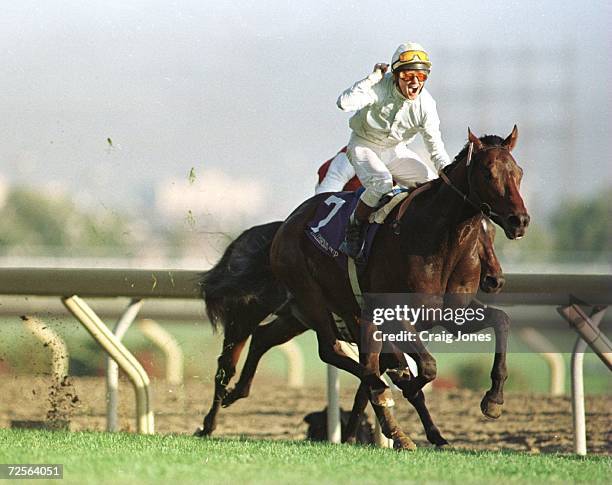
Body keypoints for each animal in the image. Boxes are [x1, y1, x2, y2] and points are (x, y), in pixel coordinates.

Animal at [270, 126, 528, 448]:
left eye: (518, 172)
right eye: (488, 173)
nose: (519, 221)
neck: (438, 239)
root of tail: (289, 221)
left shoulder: (453, 314)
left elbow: (501, 321)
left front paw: (493, 400)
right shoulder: (393, 314)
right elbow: (427, 367)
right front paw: (405, 383)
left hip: (356, 315)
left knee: (368, 366)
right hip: (312, 297)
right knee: (338, 354)